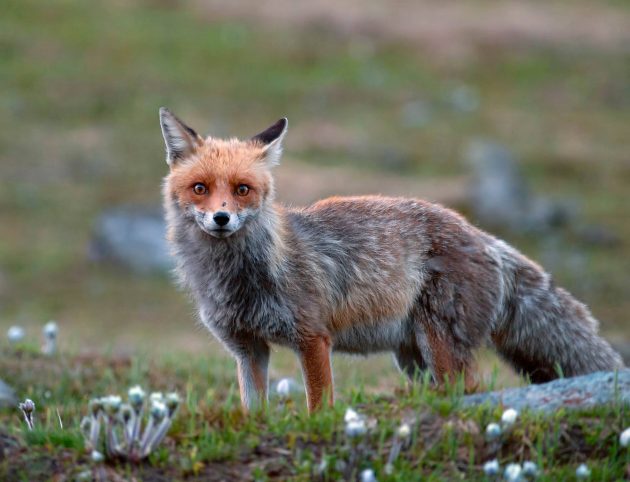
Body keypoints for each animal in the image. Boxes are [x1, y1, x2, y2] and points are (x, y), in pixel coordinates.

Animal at [160, 109, 624, 414]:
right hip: (413, 357)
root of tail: (485, 237)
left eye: (242, 189)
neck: (236, 278)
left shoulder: (312, 337)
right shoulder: (247, 348)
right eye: (200, 188)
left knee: (468, 389)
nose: (221, 219)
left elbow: (319, 405)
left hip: (440, 345)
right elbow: (254, 411)